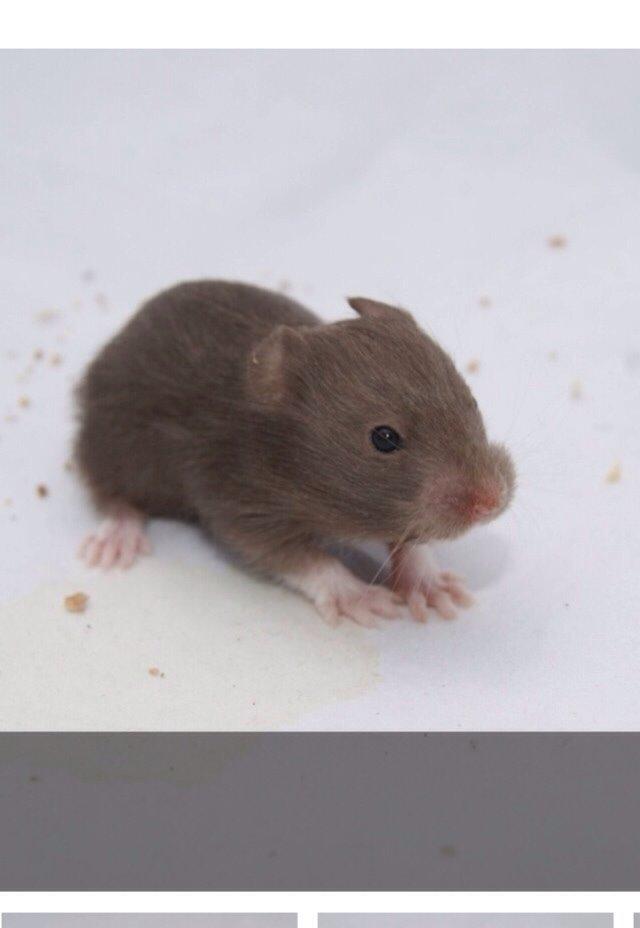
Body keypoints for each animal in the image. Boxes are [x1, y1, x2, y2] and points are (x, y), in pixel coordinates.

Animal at [75, 280, 515, 626]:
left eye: (471, 400)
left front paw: (431, 585)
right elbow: (300, 558)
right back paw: (117, 539)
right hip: (112, 444)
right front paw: (362, 598)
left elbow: (409, 539)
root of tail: (122, 333)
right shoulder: (238, 504)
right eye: (385, 438)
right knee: (112, 495)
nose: (492, 502)